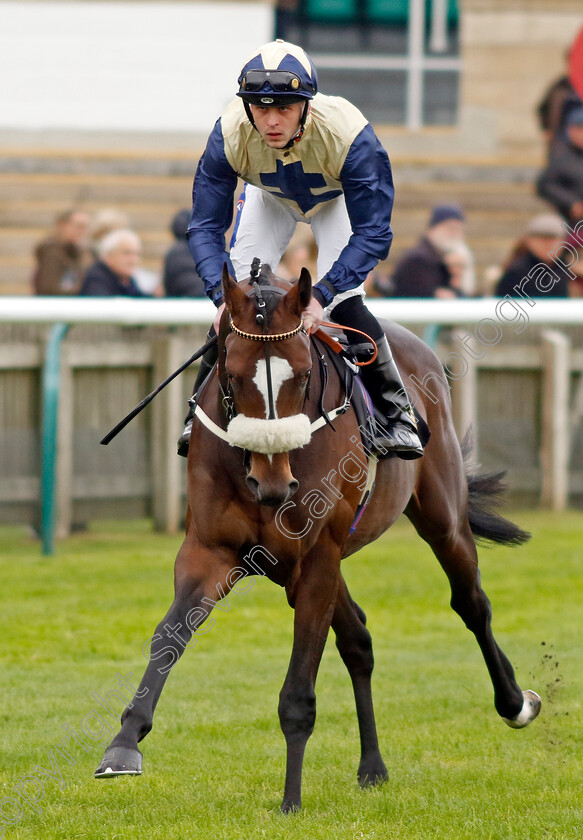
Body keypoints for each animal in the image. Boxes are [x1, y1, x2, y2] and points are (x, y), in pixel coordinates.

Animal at [94, 266, 544, 812]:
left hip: (440, 518)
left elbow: (298, 691)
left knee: (471, 603)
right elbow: (169, 637)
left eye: (304, 375)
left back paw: (515, 703)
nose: (272, 483)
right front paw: (123, 744)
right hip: (295, 568)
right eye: (231, 374)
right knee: (358, 640)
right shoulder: (211, 551)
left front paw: (291, 798)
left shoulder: (316, 558)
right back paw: (373, 767)